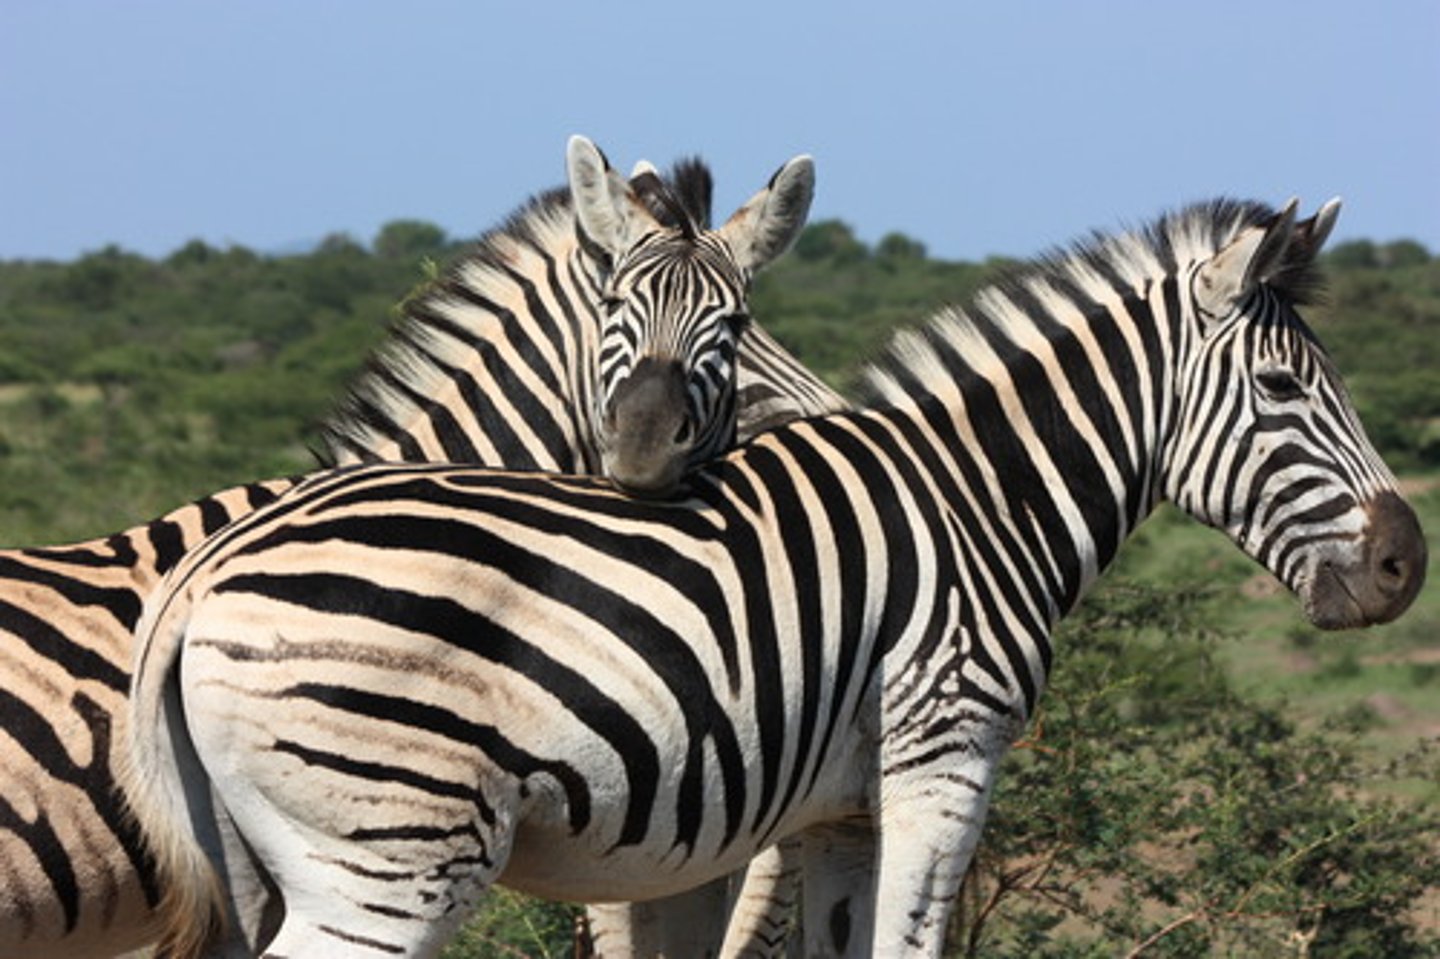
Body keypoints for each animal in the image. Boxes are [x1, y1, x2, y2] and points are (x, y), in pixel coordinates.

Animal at [119, 197, 1426, 957]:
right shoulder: (945, 753)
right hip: (387, 845)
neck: (979, 498)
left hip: (261, 863)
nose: (1405, 563)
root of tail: (206, 571)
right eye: (1284, 389)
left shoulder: (841, 806)